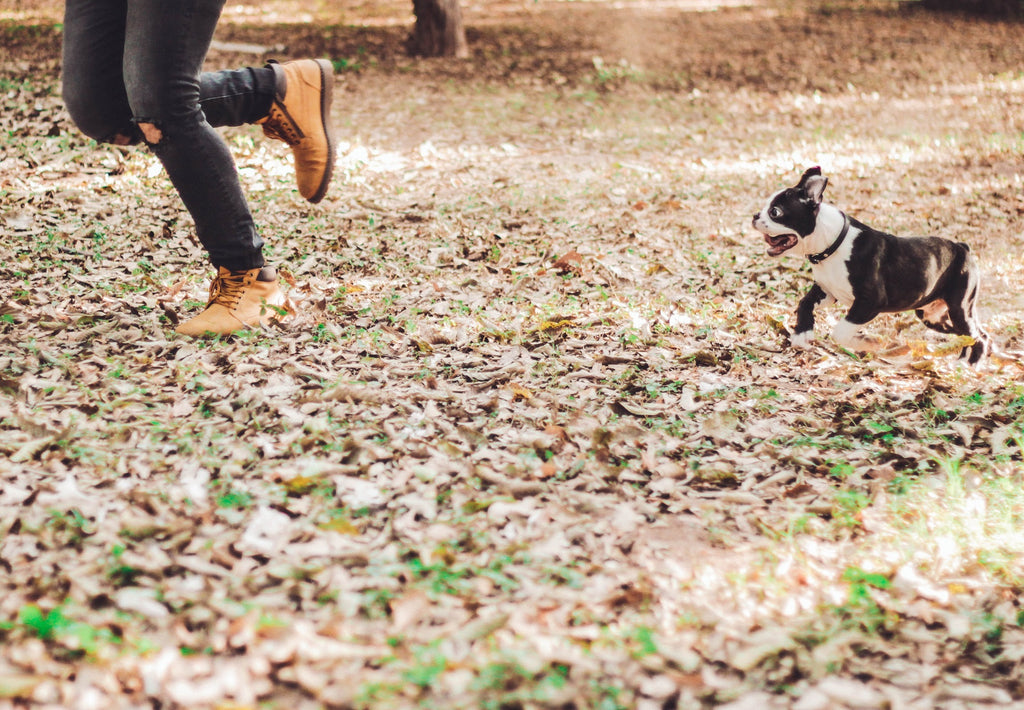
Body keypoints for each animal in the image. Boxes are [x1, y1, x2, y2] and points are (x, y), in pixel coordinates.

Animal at [753, 168, 983, 362]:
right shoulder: (827, 292)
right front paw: (802, 333)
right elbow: (804, 303)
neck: (832, 245)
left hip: (959, 308)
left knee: (977, 336)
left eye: (775, 212)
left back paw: (968, 365)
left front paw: (868, 343)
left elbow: (841, 331)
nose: (755, 215)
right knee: (972, 334)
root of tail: (962, 247)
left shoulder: (870, 302)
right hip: (931, 315)